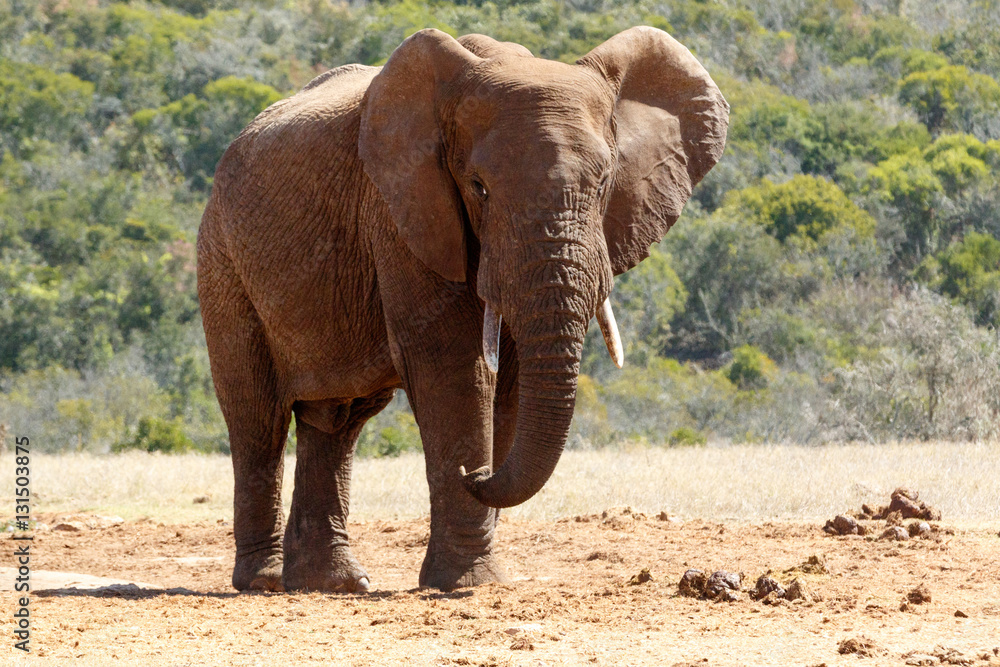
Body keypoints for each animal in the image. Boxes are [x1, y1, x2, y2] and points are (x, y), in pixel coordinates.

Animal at [196, 26, 728, 593]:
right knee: (257, 418)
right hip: (222, 261)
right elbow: (455, 368)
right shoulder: (402, 213)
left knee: (338, 420)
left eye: (605, 184)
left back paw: (332, 583)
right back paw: (266, 580)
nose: (475, 475)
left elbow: (509, 383)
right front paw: (468, 581)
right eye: (479, 187)